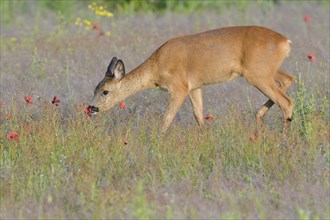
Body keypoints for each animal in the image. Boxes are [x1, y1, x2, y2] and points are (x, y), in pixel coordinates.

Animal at [89, 26, 296, 135]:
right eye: (94, 89)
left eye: (105, 91)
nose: (91, 108)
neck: (156, 68)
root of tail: (285, 42)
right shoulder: (194, 87)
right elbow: (198, 114)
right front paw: (206, 137)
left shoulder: (179, 87)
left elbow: (167, 118)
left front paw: (157, 139)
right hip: (266, 71)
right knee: (288, 80)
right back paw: (259, 117)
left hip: (257, 73)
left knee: (286, 101)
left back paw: (284, 138)